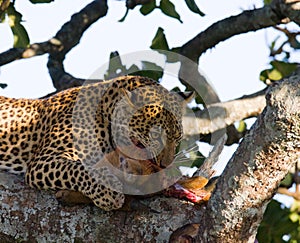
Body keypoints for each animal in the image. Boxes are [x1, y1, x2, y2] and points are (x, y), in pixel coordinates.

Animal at [0, 75, 192, 211]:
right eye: (156, 136)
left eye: (177, 139)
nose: (165, 165)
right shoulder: (44, 160)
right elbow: (80, 169)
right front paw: (110, 193)